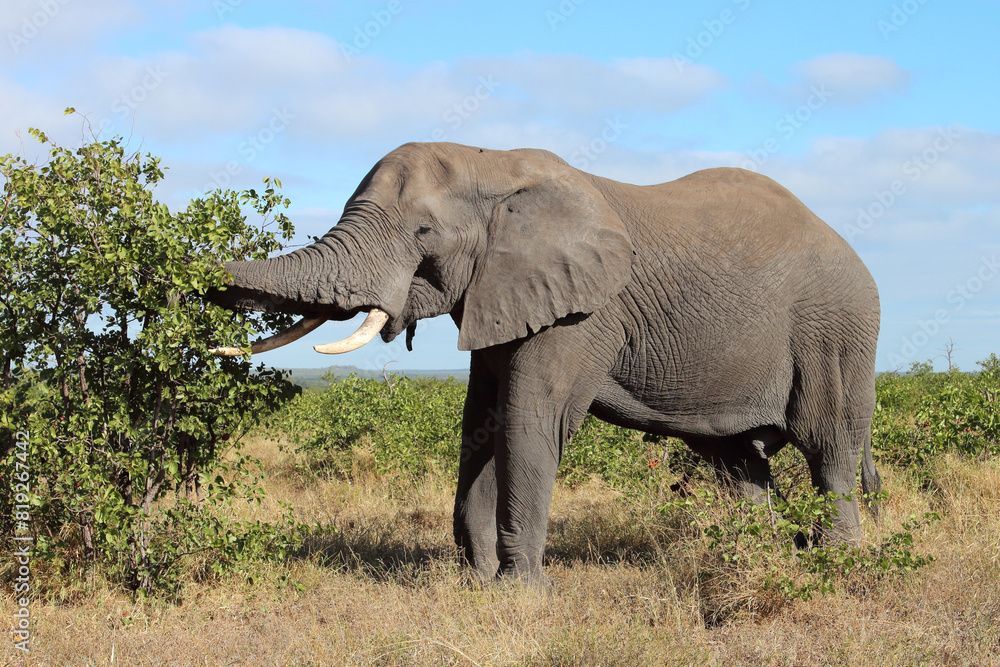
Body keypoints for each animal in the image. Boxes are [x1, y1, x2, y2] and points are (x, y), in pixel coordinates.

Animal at [205, 142, 881, 584]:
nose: (194, 284)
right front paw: (477, 583)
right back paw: (756, 561)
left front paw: (519, 592)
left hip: (836, 332)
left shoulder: (580, 313)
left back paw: (838, 566)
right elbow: (480, 425)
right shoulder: (499, 294)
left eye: (423, 232)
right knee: (739, 462)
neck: (493, 165)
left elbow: (528, 423)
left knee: (828, 450)